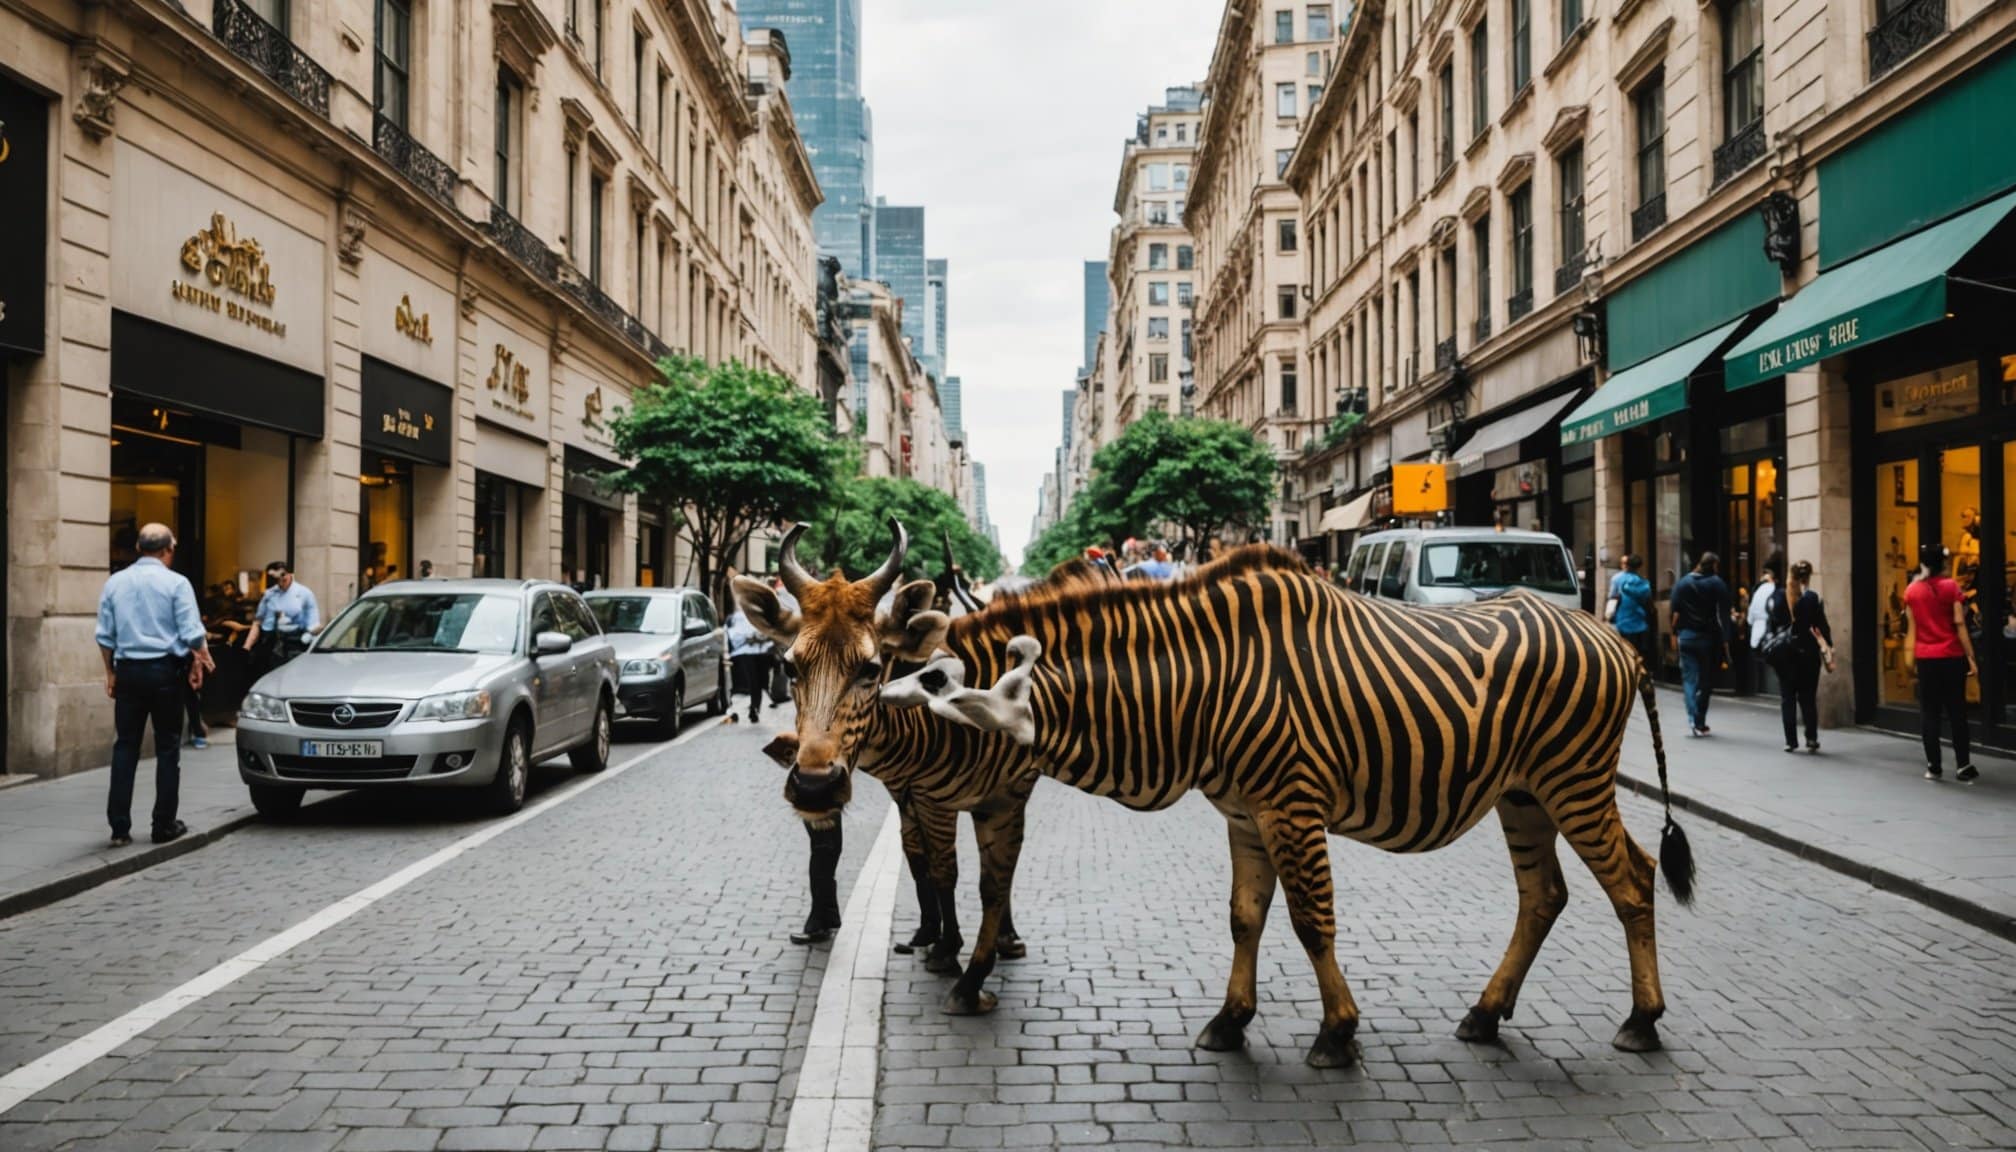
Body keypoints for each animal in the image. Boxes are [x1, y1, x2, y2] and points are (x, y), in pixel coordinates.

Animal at [733, 520, 1693, 1065]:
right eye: (789, 666)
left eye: (876, 669)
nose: (811, 780)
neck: (1203, 684)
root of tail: (1615, 636)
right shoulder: (1244, 811)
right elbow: (1245, 917)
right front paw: (1231, 1023)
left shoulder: (1292, 806)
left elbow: (1309, 920)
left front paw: (1336, 1034)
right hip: (1523, 792)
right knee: (1546, 894)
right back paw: (1488, 1017)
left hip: (1573, 781)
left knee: (1633, 881)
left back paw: (1644, 1021)